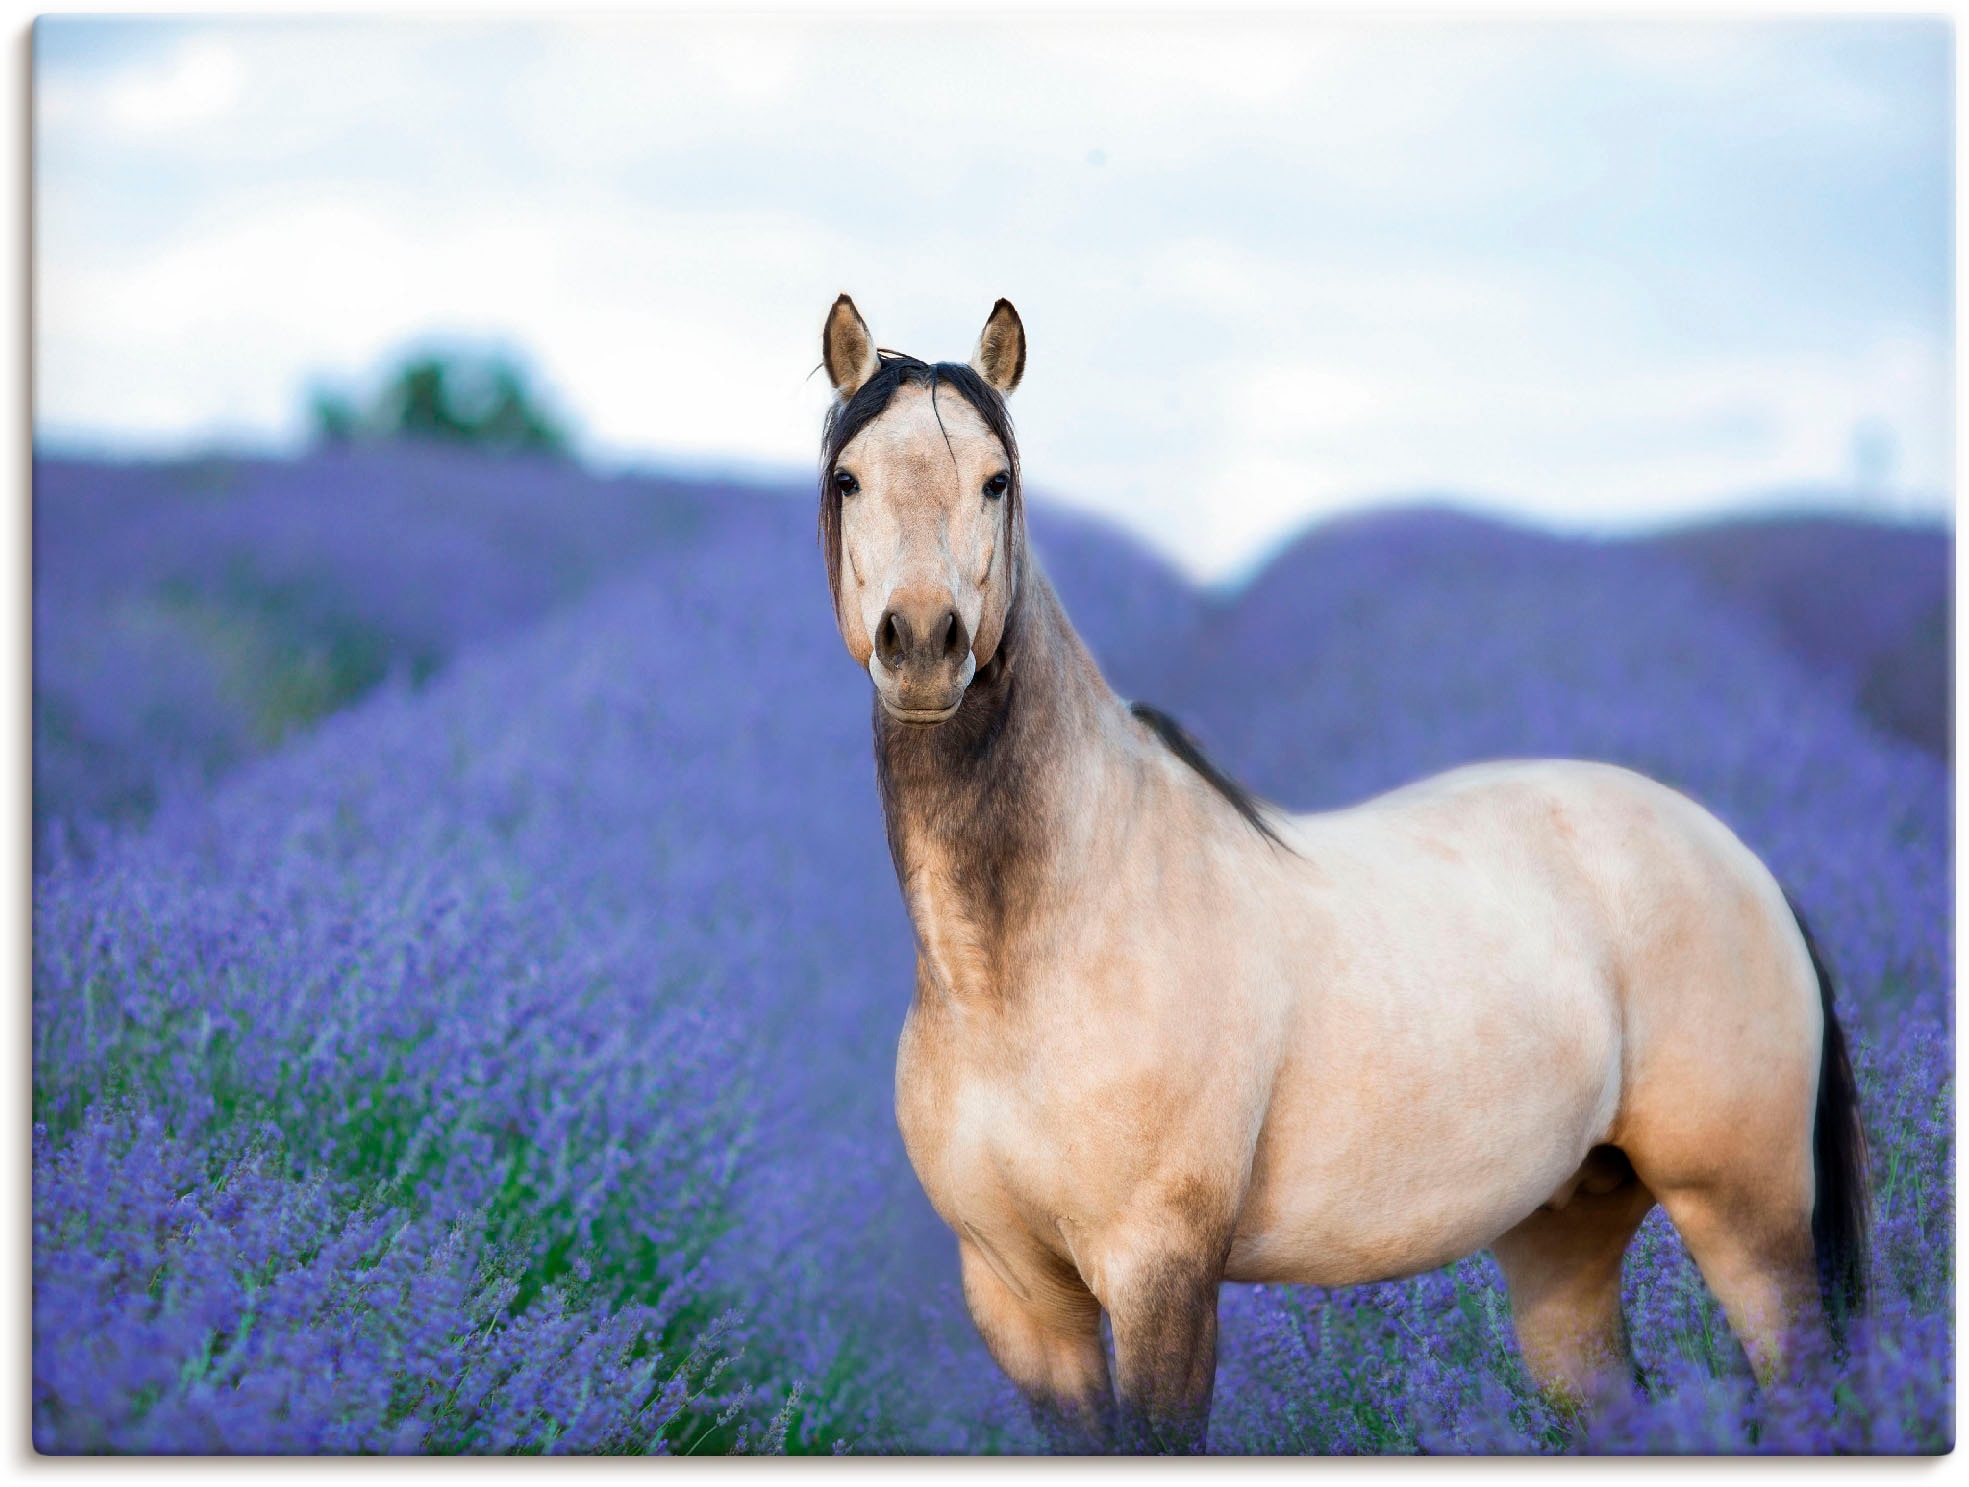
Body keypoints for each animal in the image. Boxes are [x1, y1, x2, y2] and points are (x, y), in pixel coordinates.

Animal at [807, 293, 1866, 1457]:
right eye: (848, 476)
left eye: (997, 478)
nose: (921, 645)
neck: (1024, 961)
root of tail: (1741, 862)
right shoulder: (1019, 1299)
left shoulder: (1160, 1274)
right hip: (1566, 1239)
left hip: (1746, 1218)